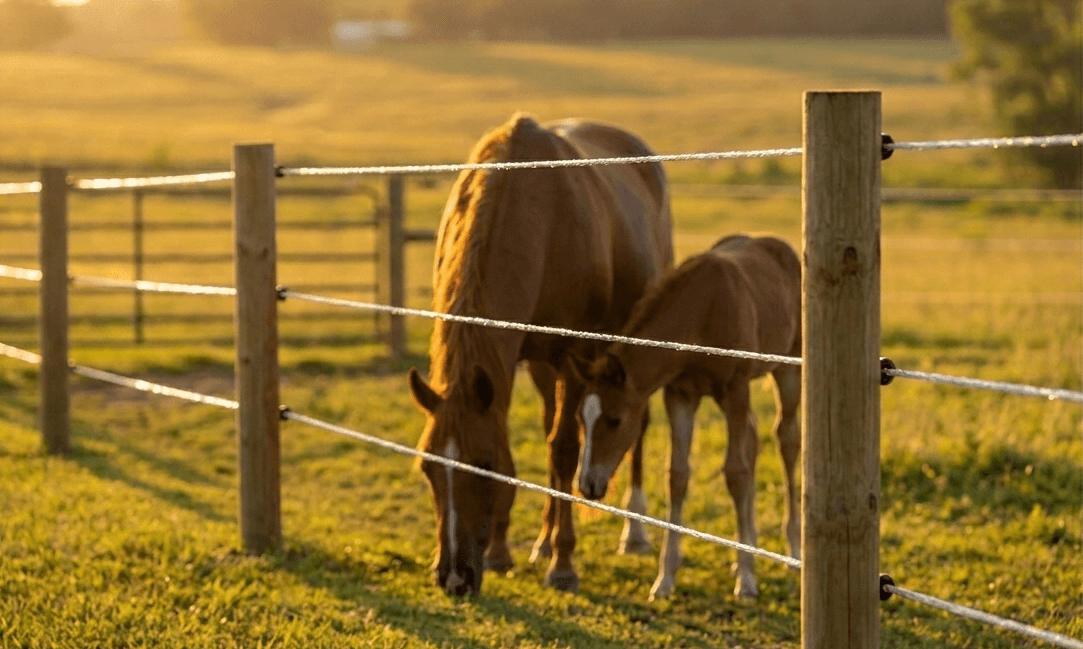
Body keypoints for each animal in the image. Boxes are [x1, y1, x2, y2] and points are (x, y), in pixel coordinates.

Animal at [407, 113, 674, 596]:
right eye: (427, 467)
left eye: (483, 465)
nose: (453, 577)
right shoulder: (514, 360)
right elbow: (532, 443)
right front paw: (500, 552)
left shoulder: (575, 353)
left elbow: (566, 449)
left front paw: (564, 565)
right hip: (542, 365)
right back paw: (544, 541)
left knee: (634, 426)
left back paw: (634, 533)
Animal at [570, 234, 801, 601]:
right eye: (581, 419)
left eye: (615, 419)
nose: (588, 485)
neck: (702, 311)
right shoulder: (679, 395)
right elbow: (677, 475)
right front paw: (665, 577)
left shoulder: (735, 388)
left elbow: (736, 473)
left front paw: (747, 581)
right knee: (753, 439)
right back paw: (747, 547)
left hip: (787, 370)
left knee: (787, 442)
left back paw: (792, 552)